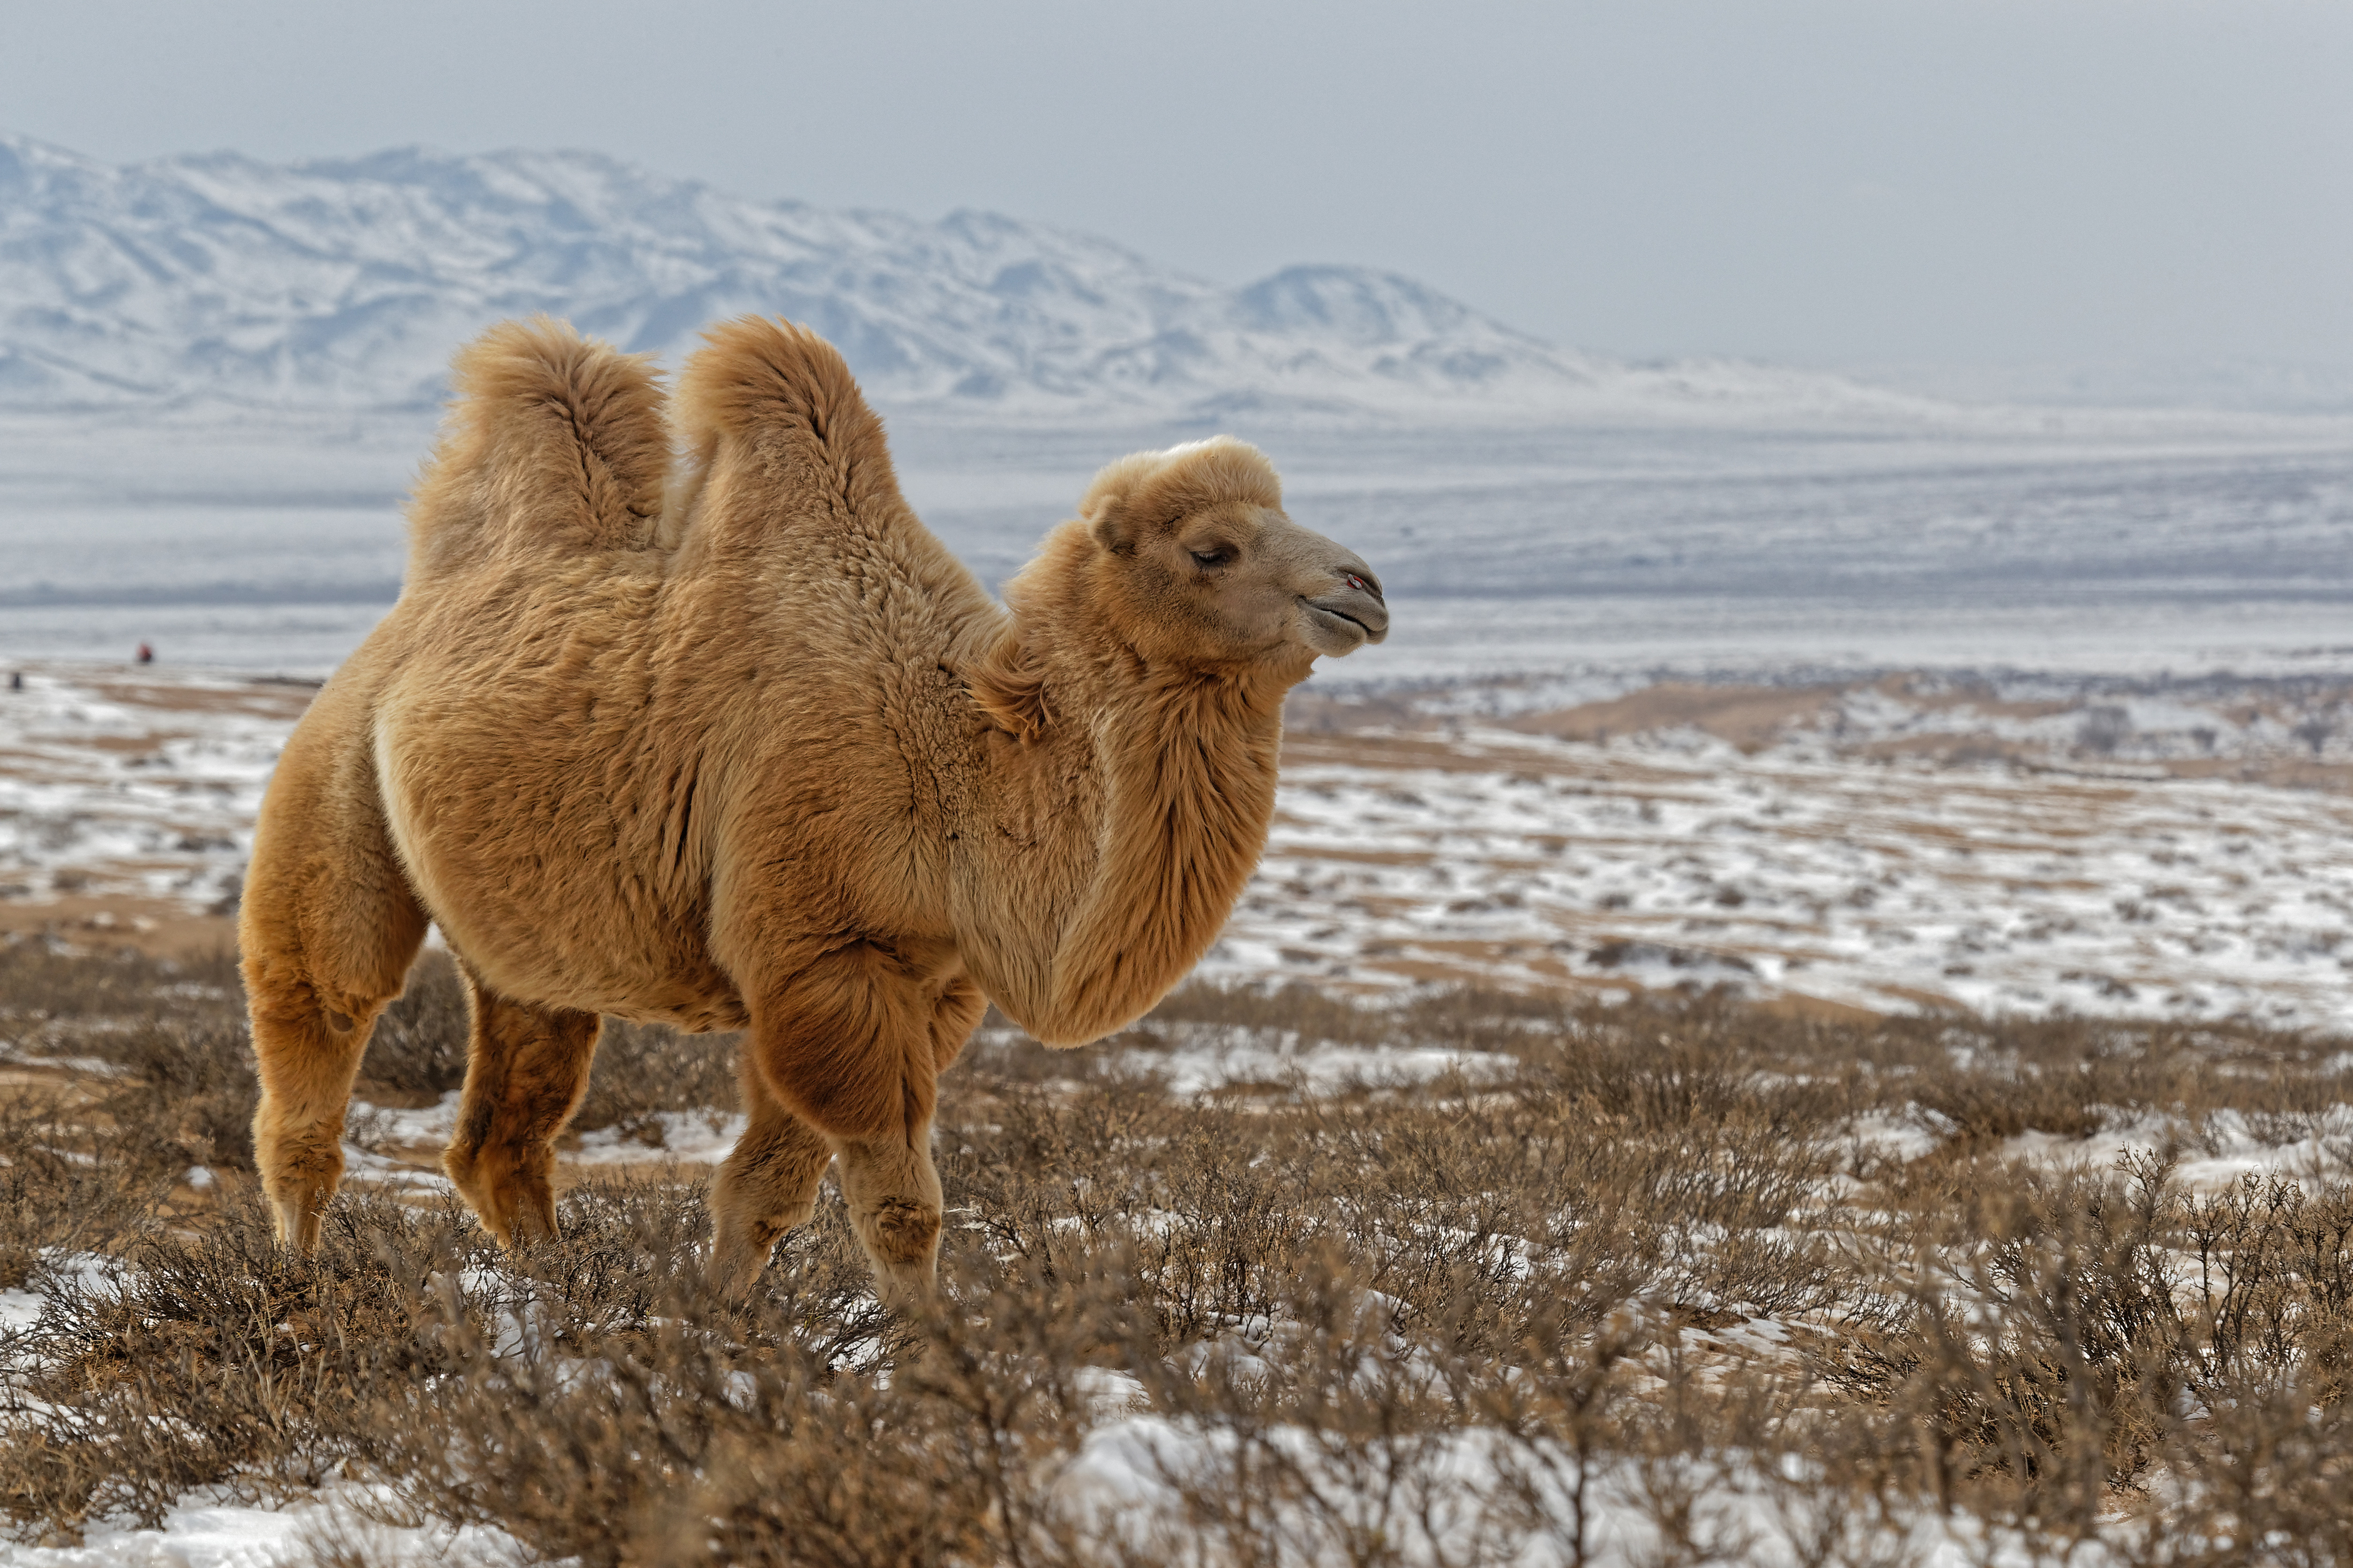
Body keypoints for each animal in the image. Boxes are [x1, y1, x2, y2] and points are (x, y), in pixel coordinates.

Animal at [238, 315, 1387, 1303]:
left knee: (503, 1126)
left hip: (527, 935)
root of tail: (406, 618)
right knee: (318, 1022)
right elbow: (897, 1204)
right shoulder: (824, 955)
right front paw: (931, 1360)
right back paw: (295, 1281)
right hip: (332, 781)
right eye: (1211, 548)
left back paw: (554, 1290)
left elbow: (764, 1190)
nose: (1363, 589)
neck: (952, 757)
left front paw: (708, 1326)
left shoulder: (923, 978)